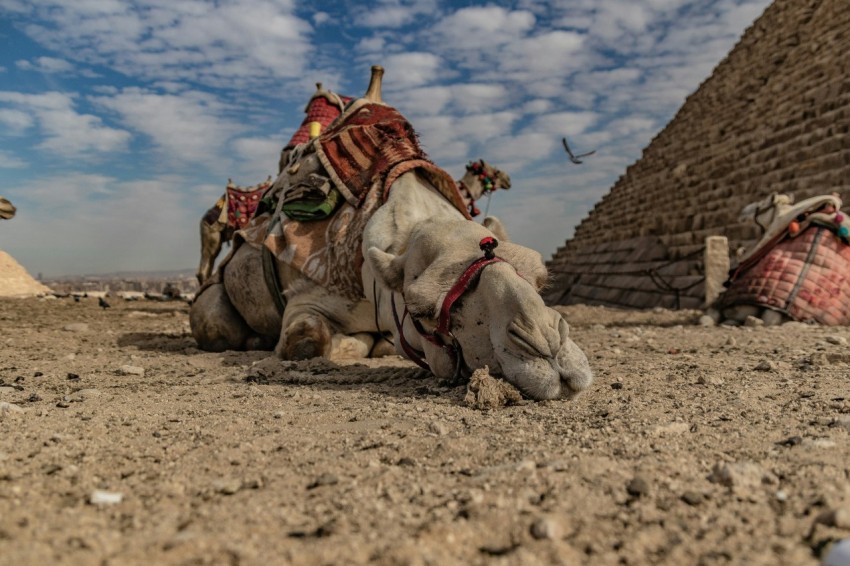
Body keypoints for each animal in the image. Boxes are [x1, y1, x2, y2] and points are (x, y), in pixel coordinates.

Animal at [190, 66, 588, 402]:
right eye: (421, 309)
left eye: (541, 278)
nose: (548, 346)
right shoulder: (307, 292)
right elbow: (308, 341)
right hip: (214, 294)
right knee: (214, 317)